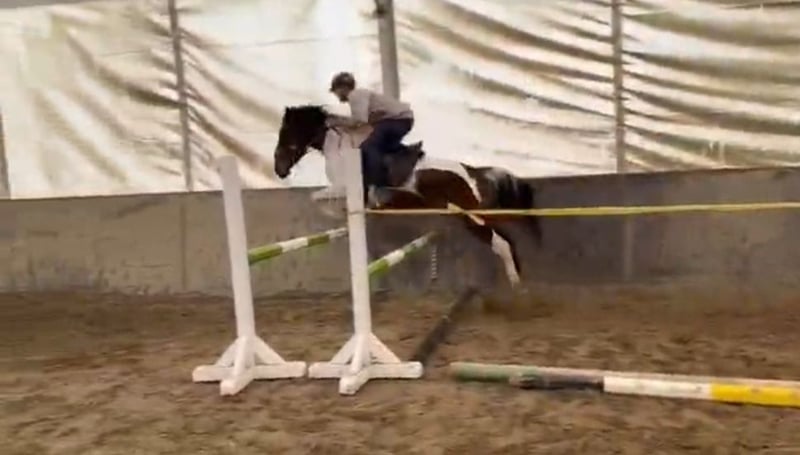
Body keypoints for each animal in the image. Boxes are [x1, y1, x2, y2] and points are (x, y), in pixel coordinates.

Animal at [272, 104, 542, 287]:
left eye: (286, 133)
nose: (279, 169)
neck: (339, 149)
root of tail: (471, 171)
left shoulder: (342, 187)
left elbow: (318, 198)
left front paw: (339, 214)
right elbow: (317, 198)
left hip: (471, 217)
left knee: (502, 242)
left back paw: (516, 283)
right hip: (471, 217)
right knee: (505, 240)